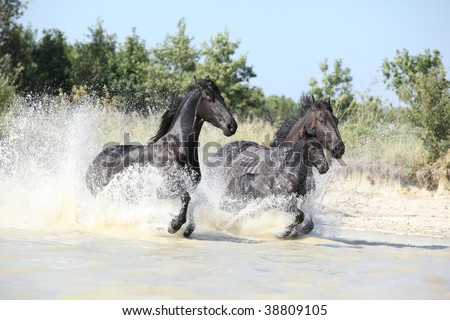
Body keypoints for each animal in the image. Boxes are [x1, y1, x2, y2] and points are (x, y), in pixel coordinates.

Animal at [85, 75, 239, 235]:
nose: (231, 126)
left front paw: (187, 229)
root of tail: (94, 163)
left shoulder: (191, 186)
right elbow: (185, 197)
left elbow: (192, 201)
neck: (178, 148)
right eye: (210, 98)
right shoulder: (163, 189)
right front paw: (174, 225)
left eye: (222, 97)